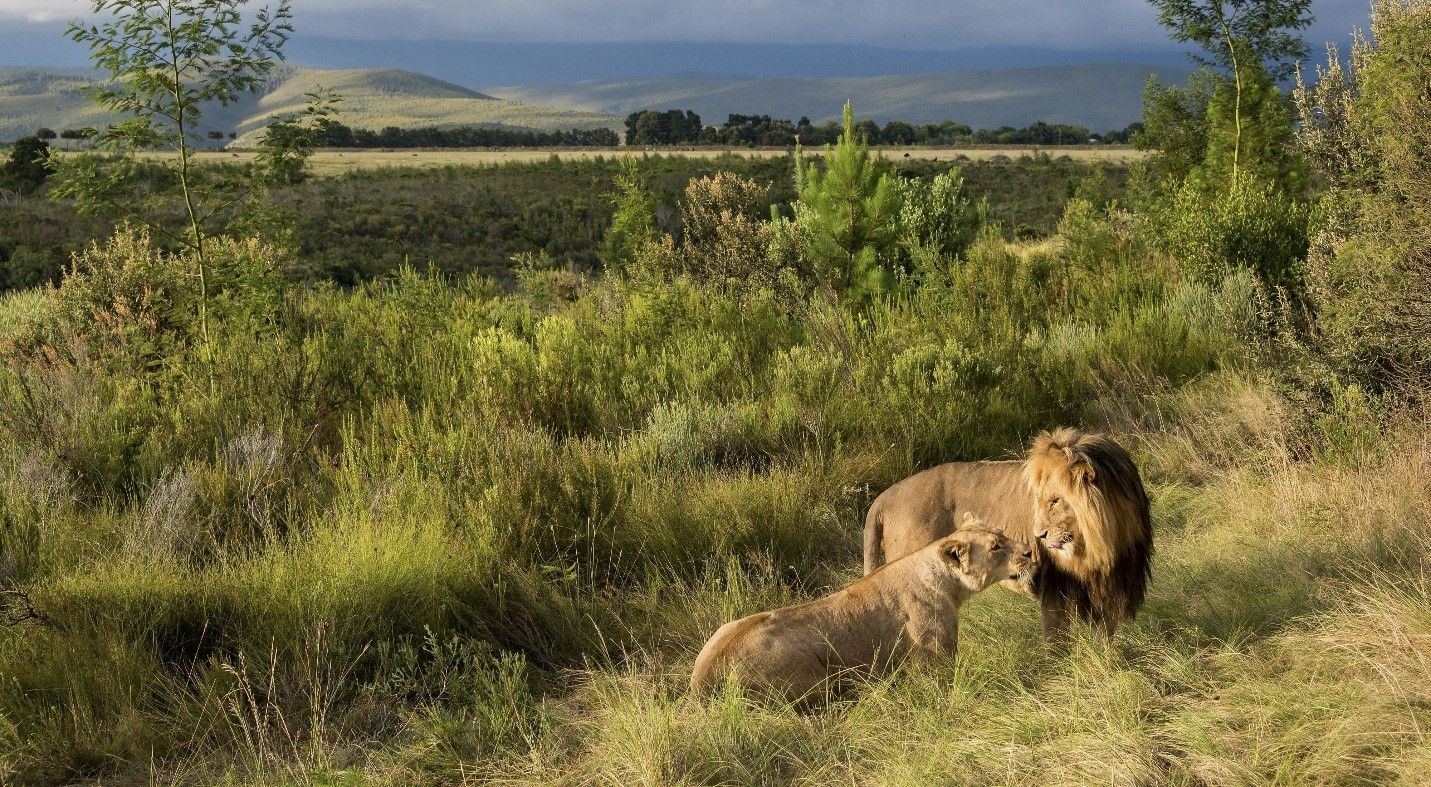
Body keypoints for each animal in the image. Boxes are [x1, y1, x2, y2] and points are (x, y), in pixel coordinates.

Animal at [689, 523, 1030, 704]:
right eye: (996, 546)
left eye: (1002, 534)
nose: (1028, 552)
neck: (947, 581)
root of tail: (702, 680)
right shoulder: (936, 658)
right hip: (817, 680)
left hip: (724, 628)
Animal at [858, 429, 1150, 643]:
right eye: (1038, 501)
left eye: (1054, 501)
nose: (1038, 536)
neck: (1100, 549)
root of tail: (884, 497)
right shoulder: (1054, 591)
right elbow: (1056, 642)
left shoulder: (1112, 589)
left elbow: (1103, 642)